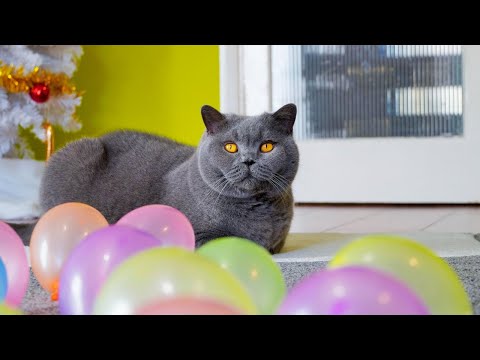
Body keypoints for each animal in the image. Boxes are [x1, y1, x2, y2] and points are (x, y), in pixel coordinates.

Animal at [39, 103, 298, 253]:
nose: (248, 160)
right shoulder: (197, 235)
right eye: (230, 147)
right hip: (79, 152)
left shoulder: (278, 240)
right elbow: (232, 240)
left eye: (267, 146)